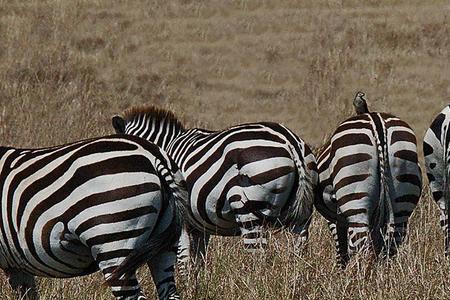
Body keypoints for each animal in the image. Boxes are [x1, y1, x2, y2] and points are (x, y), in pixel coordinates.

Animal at [111, 106, 316, 270]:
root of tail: (289, 141)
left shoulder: (181, 221)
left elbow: (183, 261)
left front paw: (185, 288)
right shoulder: (200, 227)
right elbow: (198, 262)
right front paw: (197, 288)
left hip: (248, 212)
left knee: (259, 258)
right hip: (303, 217)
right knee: (299, 256)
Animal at [312, 92, 422, 266]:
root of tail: (377, 123)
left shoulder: (334, 218)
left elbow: (341, 248)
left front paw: (340, 269)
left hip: (355, 198)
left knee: (364, 249)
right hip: (402, 197)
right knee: (390, 246)